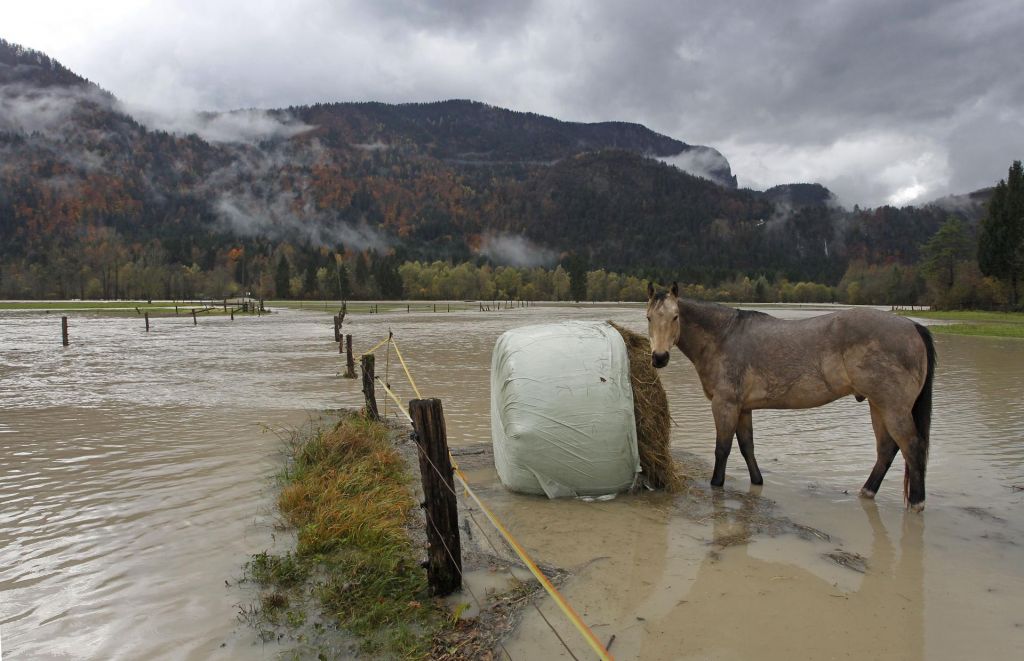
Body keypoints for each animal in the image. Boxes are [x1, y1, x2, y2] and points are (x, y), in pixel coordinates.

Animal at [647, 284, 937, 513]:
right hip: (878, 405)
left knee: (912, 447)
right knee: (887, 449)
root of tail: (912, 325)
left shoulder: (725, 405)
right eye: (649, 317)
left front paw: (716, 485)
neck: (724, 336)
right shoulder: (743, 408)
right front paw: (757, 481)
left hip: (893, 408)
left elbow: (723, 449)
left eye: (675, 317)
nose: (659, 357)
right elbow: (747, 446)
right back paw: (867, 492)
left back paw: (916, 503)